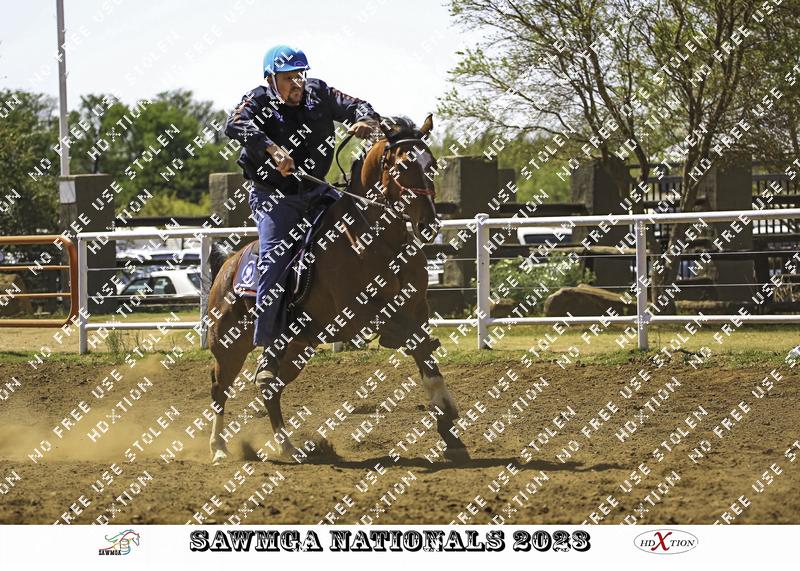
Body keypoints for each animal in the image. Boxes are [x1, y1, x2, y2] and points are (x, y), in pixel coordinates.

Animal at [205, 115, 469, 465]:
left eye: (432, 164)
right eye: (401, 166)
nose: (429, 223)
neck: (375, 238)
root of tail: (227, 264)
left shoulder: (417, 308)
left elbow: (425, 354)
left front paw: (450, 431)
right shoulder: (361, 314)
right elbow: (415, 341)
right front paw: (447, 417)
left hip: (297, 348)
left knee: (270, 389)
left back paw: (289, 447)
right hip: (229, 346)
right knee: (219, 389)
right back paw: (219, 448)